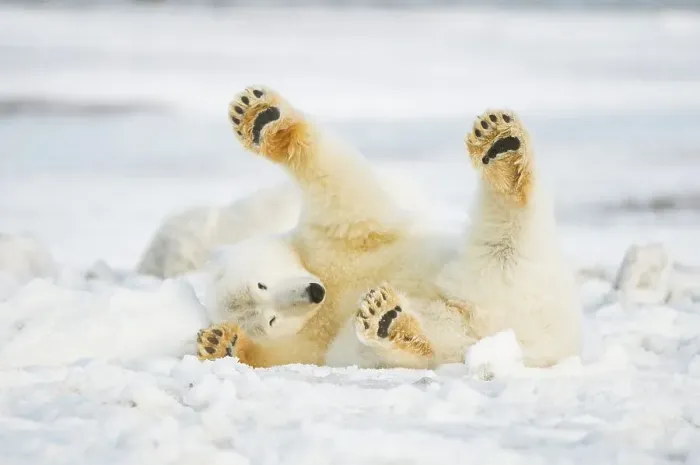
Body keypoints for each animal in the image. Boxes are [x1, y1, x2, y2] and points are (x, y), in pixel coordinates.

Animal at [195, 85, 582, 369]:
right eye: (270, 319)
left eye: (262, 282)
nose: (312, 293)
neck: (328, 288)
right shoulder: (307, 345)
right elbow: (273, 355)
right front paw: (220, 342)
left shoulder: (337, 240)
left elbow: (340, 187)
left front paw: (259, 117)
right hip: (480, 305)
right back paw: (387, 320)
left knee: (506, 230)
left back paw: (502, 148)